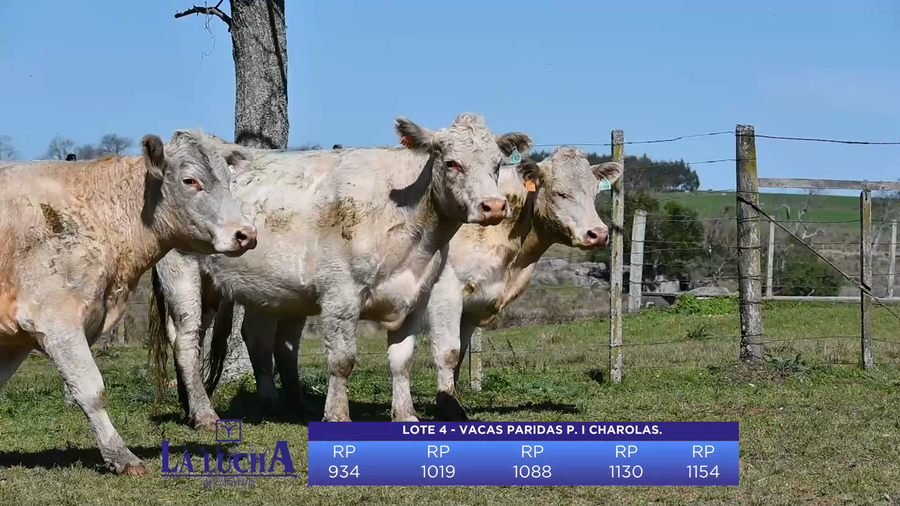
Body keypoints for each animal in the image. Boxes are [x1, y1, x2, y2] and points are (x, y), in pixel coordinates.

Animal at [0, 130, 257, 476]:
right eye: (190, 180)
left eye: (229, 181)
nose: (246, 234)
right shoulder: (56, 321)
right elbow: (91, 390)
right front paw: (122, 457)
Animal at [148, 114, 532, 425]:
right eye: (452, 163)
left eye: (497, 165)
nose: (494, 206)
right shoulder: (340, 294)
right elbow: (342, 359)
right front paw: (337, 414)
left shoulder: (417, 295)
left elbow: (402, 360)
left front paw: (405, 414)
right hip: (182, 273)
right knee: (187, 343)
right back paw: (205, 415)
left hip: (229, 288)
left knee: (239, 340)